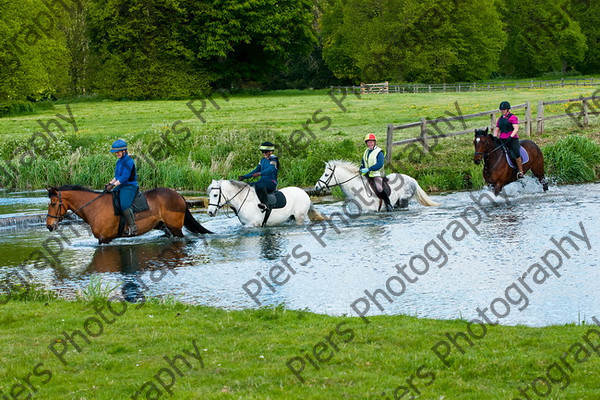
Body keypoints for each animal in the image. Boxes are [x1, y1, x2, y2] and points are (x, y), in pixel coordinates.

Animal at [46, 186, 211, 245]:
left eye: (53, 203)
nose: (49, 225)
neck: (94, 207)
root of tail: (178, 195)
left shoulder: (104, 239)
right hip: (163, 225)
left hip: (175, 227)